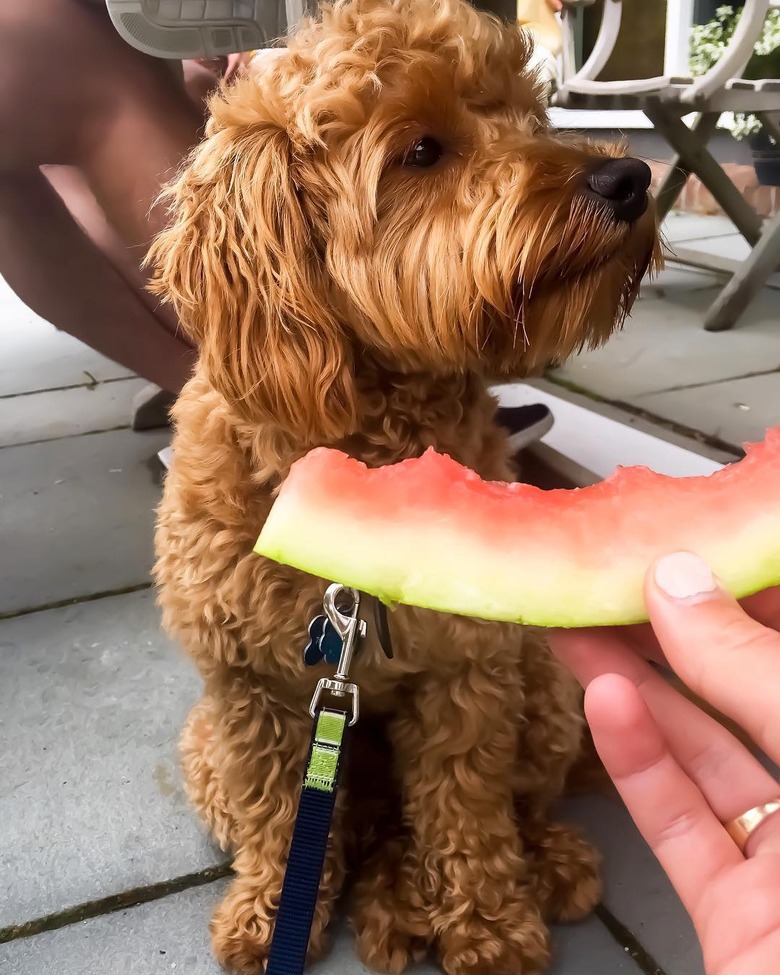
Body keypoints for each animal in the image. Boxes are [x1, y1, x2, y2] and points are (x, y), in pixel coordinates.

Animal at [151, 0, 660, 972]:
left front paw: (489, 925)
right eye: (422, 150)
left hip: (543, 691)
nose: (631, 176)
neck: (372, 449)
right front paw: (272, 913)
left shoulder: (467, 671)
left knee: (496, 806)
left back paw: (538, 864)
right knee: (353, 821)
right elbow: (281, 816)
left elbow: (467, 810)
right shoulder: (252, 692)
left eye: (530, 115)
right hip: (206, 750)